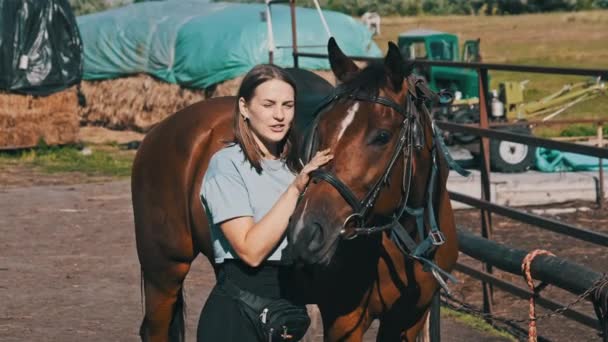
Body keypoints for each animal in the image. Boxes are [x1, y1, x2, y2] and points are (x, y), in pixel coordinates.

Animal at [132, 38, 456, 342]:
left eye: (382, 136)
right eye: (322, 128)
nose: (305, 232)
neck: (408, 239)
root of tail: (160, 130)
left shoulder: (408, 321)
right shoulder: (344, 323)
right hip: (164, 272)